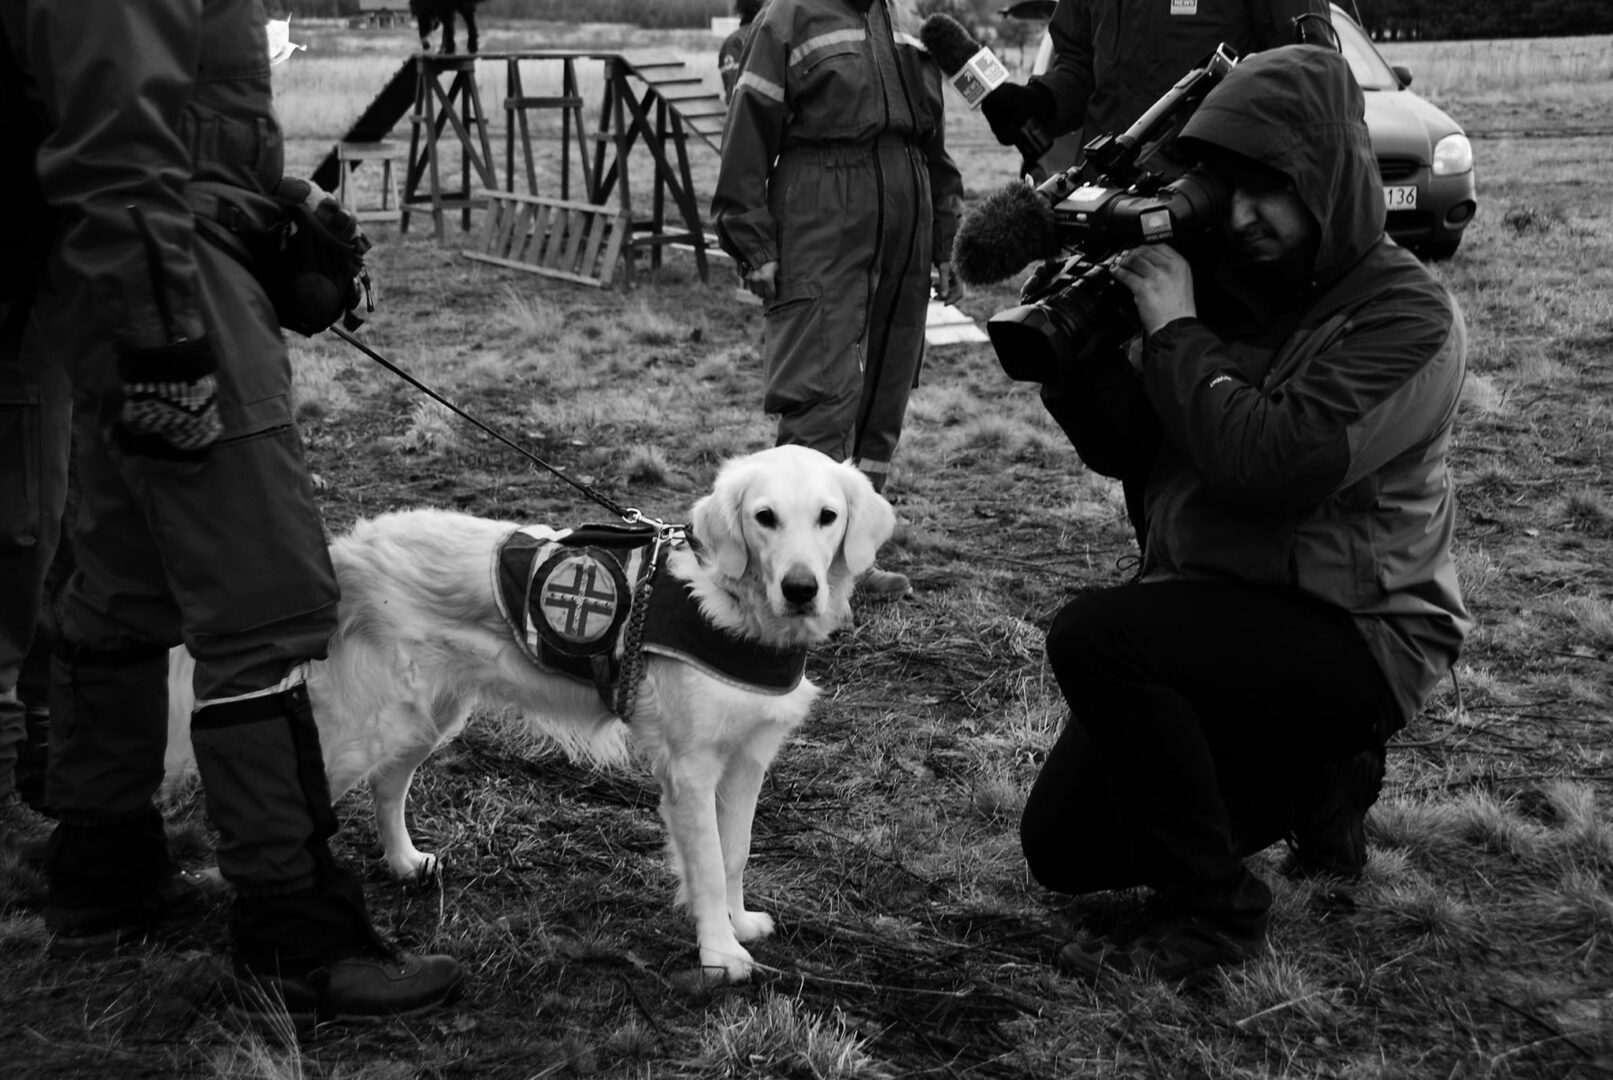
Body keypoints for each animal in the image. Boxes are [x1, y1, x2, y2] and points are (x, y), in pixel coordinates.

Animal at [166, 444, 896, 986]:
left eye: (827, 516)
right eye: (765, 518)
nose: (800, 589)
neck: (731, 609)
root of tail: (347, 550)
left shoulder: (746, 762)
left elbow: (735, 853)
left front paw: (738, 926)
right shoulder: (689, 770)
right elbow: (710, 866)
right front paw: (719, 955)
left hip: (426, 717)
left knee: (387, 786)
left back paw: (404, 862)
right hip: (365, 726)